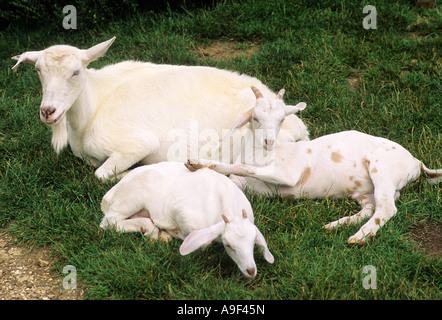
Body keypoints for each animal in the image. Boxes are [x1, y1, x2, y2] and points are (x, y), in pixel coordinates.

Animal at [10, 37, 308, 180]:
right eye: (38, 70)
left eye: (75, 72)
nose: (48, 111)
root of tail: (299, 128)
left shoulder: (135, 143)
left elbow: (101, 174)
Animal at [99, 161, 274, 278]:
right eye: (229, 245)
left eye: (253, 242)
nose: (251, 271)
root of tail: (109, 195)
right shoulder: (182, 213)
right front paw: (170, 231)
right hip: (131, 198)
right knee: (108, 222)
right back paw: (151, 229)